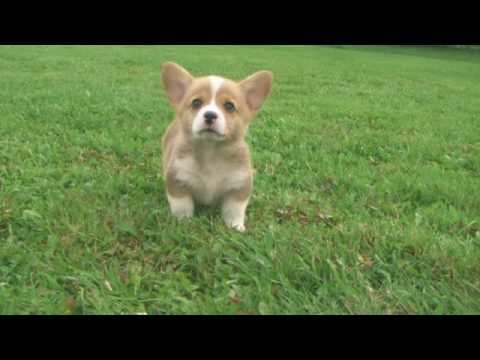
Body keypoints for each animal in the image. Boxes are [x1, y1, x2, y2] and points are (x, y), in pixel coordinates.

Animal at [161, 62, 274, 232]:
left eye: (229, 106)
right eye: (196, 103)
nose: (210, 115)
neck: (211, 151)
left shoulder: (239, 185)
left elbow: (234, 210)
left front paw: (236, 227)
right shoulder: (177, 179)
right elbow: (182, 206)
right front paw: (183, 222)